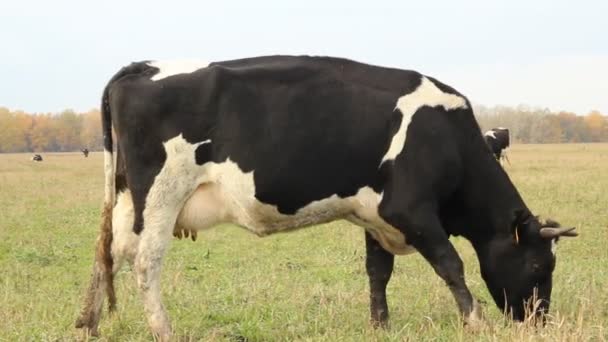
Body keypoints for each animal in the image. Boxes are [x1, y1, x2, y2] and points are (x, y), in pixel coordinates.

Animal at [77, 56, 580, 340]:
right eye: (540, 266)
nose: (540, 321)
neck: (449, 140)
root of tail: (143, 67)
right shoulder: (411, 210)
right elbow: (451, 264)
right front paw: (474, 320)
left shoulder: (377, 215)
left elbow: (378, 273)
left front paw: (380, 326)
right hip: (159, 195)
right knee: (145, 262)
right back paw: (163, 330)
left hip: (126, 197)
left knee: (107, 251)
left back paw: (89, 322)